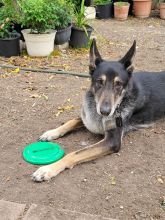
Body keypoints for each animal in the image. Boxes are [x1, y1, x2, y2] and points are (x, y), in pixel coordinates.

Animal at [31, 38, 165, 181]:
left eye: (118, 84)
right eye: (99, 81)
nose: (105, 111)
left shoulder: (112, 141)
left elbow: (75, 153)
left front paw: (48, 169)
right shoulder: (88, 116)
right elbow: (71, 122)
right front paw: (51, 132)